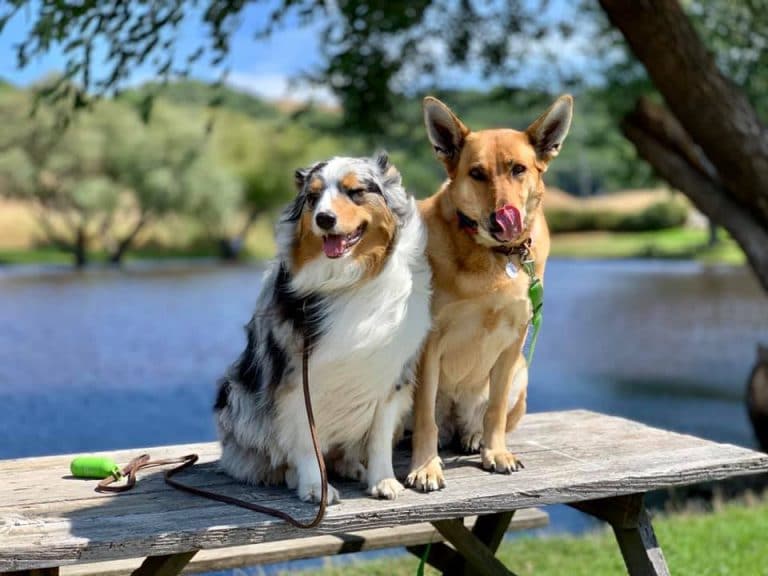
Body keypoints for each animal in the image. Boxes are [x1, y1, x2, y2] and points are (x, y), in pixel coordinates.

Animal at [404, 94, 572, 490]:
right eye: (476, 173)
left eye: (518, 169)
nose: (502, 216)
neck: (496, 256)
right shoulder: (429, 343)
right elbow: (425, 417)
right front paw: (425, 467)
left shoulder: (513, 343)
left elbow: (494, 411)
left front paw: (495, 453)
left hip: (521, 374)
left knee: (482, 418)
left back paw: (474, 438)